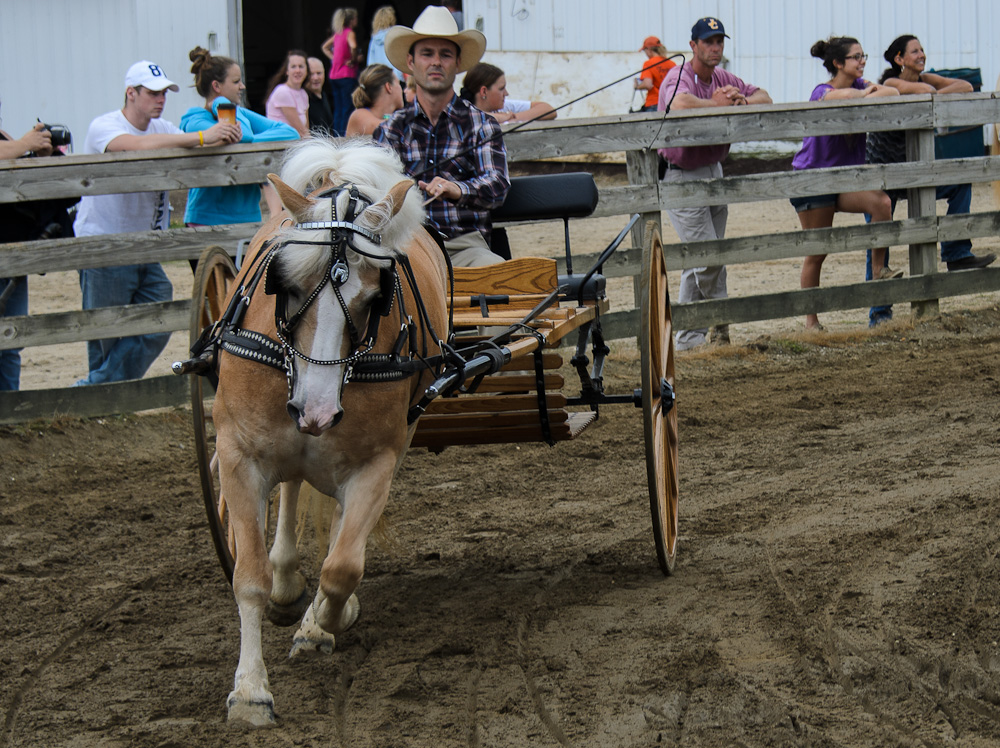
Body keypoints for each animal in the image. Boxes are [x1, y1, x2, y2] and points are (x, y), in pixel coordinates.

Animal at [208, 138, 449, 726]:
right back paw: (286, 579)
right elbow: (248, 578)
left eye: (374, 298)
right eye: (286, 286)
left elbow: (342, 567)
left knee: (337, 525)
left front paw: (324, 621)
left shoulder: (376, 462)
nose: (315, 412)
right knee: (293, 489)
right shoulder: (238, 455)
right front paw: (250, 691)